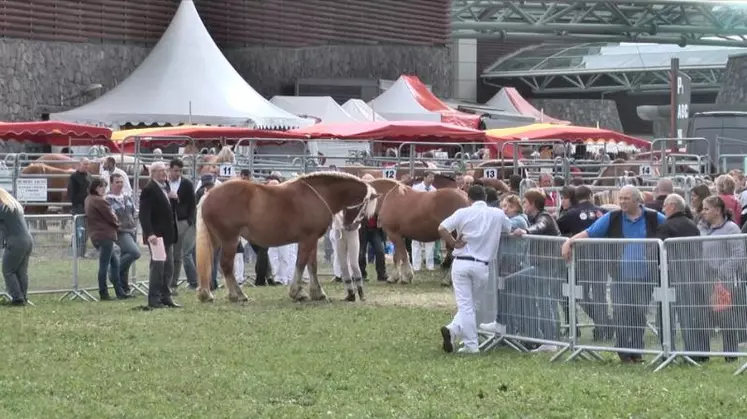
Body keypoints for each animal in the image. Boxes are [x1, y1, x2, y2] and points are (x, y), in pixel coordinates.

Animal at [196, 172, 380, 304]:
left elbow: (312, 266)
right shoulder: (307, 239)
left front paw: (317, 293)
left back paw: (208, 294)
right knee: (226, 266)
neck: (318, 194)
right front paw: (297, 293)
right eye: (364, 207)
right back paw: (238, 295)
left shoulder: (312, 239)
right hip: (230, 240)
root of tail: (209, 194)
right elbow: (301, 264)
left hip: (216, 240)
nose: (350, 226)